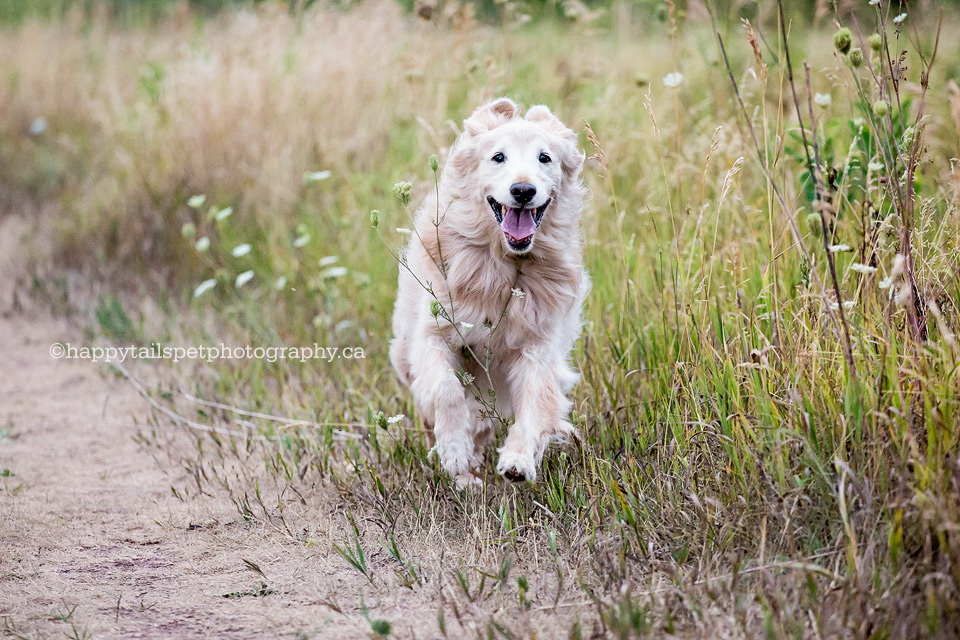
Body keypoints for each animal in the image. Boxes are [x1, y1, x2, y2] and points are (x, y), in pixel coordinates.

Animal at [388, 97, 584, 482]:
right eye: (498, 157)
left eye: (545, 157)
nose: (523, 191)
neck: (503, 267)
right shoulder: (433, 334)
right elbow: (446, 389)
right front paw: (454, 452)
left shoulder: (538, 346)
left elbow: (536, 400)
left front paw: (518, 459)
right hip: (404, 351)